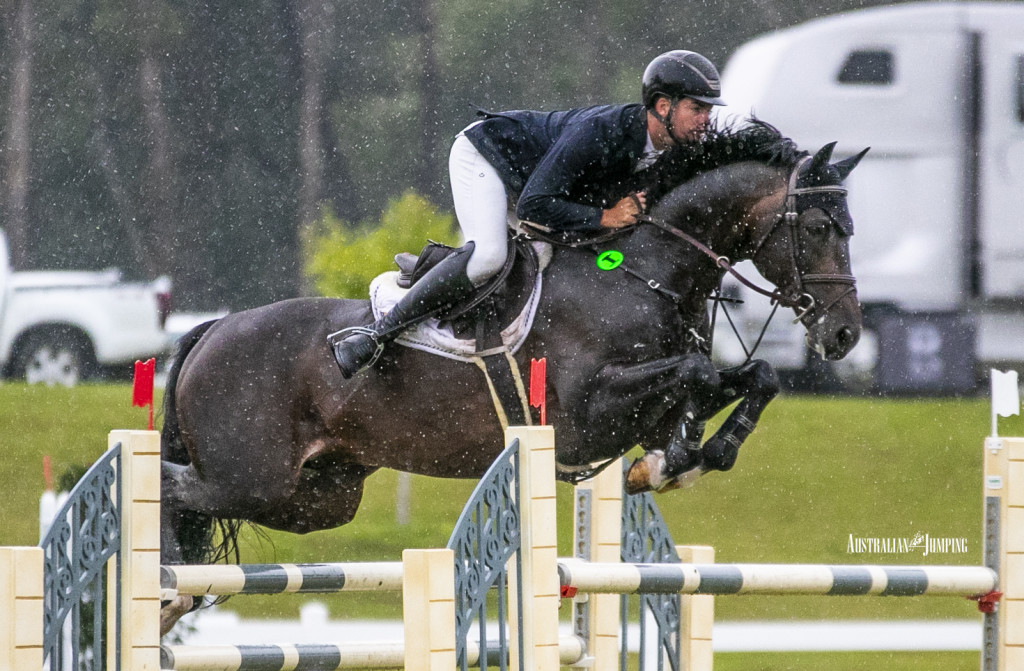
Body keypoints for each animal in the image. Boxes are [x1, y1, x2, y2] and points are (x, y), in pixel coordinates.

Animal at [157, 121, 864, 635]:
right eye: (819, 227)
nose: (844, 335)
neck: (645, 271)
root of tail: (211, 331)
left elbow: (754, 377)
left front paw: (679, 459)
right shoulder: (582, 416)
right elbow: (697, 372)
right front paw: (677, 456)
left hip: (320, 497)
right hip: (253, 476)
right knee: (170, 484)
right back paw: (165, 586)